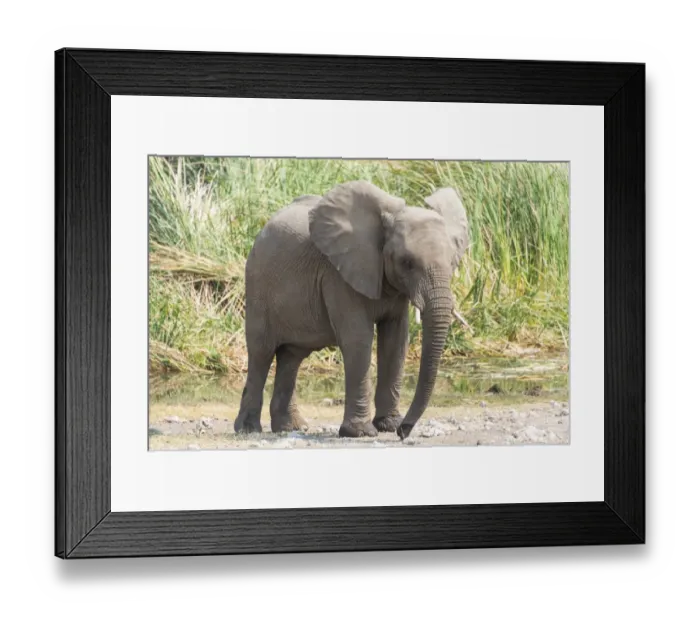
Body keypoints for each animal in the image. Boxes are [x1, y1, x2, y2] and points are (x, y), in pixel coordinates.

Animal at [233, 180, 469, 440]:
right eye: (406, 263)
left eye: (453, 263)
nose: (404, 432)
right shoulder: (339, 276)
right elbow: (358, 339)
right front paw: (361, 432)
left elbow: (395, 341)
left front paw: (388, 425)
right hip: (258, 286)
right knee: (261, 352)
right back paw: (248, 429)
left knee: (291, 356)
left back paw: (292, 428)